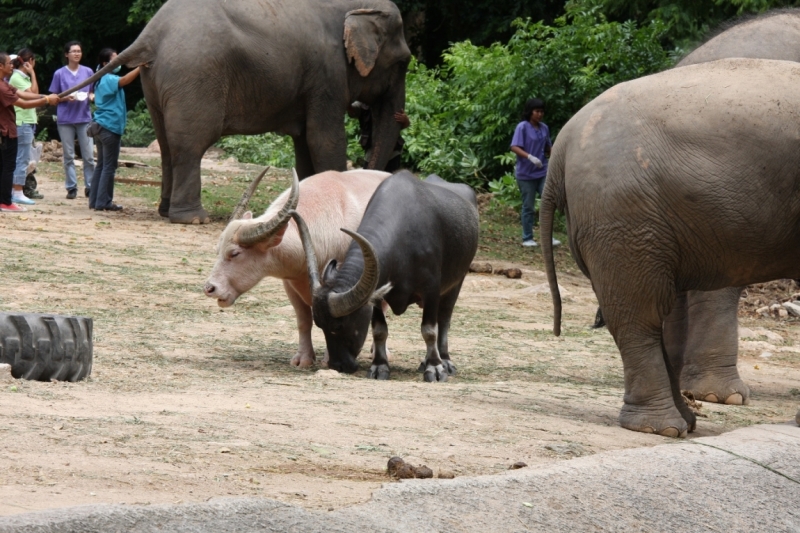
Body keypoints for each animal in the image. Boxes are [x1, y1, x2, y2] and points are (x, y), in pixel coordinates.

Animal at [61, 0, 412, 222]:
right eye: (403, 63)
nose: (402, 117)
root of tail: (150, 33)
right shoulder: (327, 73)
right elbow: (324, 138)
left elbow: (304, 142)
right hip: (194, 76)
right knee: (190, 144)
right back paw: (193, 219)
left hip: (156, 80)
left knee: (167, 146)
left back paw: (166, 211)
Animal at [205, 169, 390, 366]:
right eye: (218, 250)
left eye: (234, 253)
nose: (209, 288)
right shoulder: (290, 284)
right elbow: (303, 320)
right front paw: (304, 358)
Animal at [290, 170, 478, 378]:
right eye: (319, 325)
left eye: (338, 325)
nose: (337, 365)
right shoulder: (376, 295)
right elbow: (379, 330)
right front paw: (379, 366)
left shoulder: (431, 290)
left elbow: (430, 330)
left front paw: (434, 367)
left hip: (456, 283)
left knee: (444, 319)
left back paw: (444, 360)